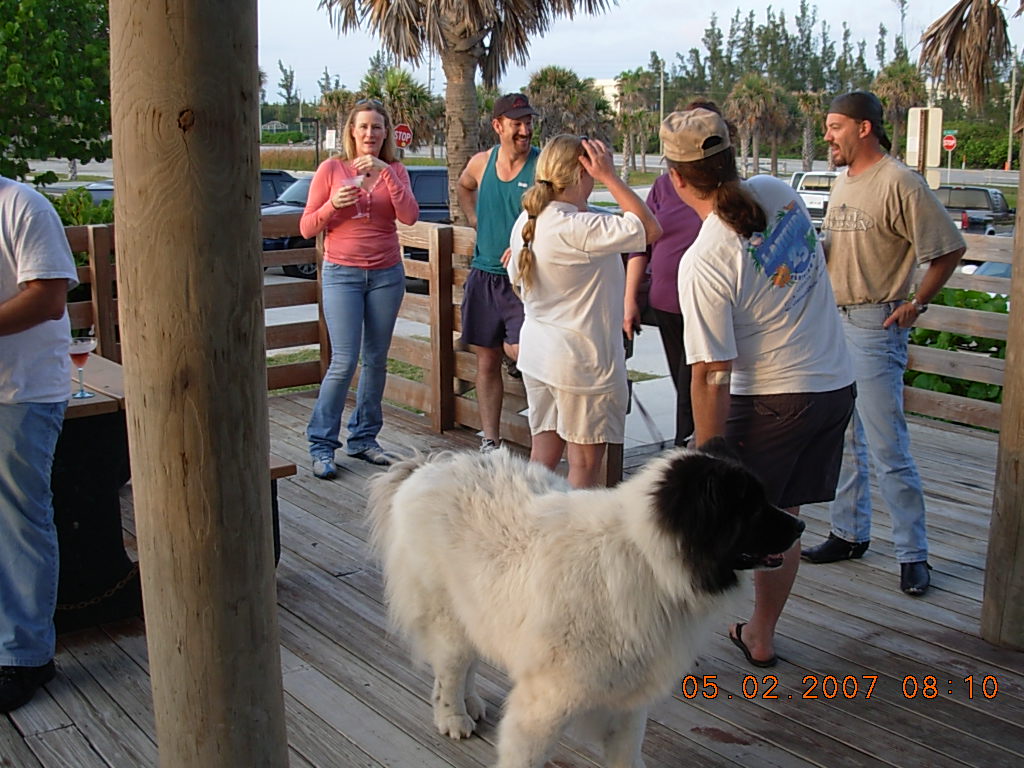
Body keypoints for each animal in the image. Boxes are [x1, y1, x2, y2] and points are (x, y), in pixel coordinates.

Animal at [368, 438, 806, 768]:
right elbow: (526, 755)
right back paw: (453, 716)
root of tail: (427, 465)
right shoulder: (546, 702)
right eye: (752, 508)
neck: (648, 558)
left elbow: (626, 754)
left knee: (464, 665)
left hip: (479, 608)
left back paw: (471, 703)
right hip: (449, 618)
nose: (801, 524)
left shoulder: (629, 699)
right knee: (450, 671)